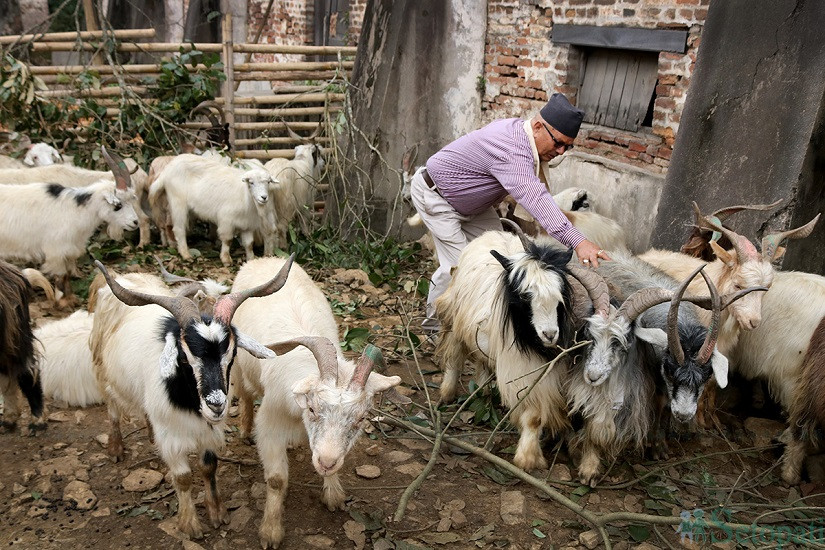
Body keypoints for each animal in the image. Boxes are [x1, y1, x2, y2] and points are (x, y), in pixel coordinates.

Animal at [0, 146, 138, 302]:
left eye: (132, 199)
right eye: (118, 205)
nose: (135, 222)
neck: (75, 209)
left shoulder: (70, 248)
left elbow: (67, 275)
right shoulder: (56, 250)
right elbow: (61, 276)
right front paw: (62, 302)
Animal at [89, 258, 292, 540]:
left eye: (232, 354)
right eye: (184, 357)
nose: (216, 404)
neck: (187, 400)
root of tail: (124, 278)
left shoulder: (209, 430)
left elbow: (209, 466)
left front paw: (217, 512)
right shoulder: (171, 434)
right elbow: (183, 477)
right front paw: (190, 525)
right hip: (102, 369)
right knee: (112, 408)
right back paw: (116, 447)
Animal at [148, 155, 276, 268]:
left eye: (268, 182)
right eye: (251, 182)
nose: (264, 197)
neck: (245, 196)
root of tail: (167, 169)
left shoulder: (247, 225)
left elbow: (249, 244)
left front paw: (251, 260)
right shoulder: (226, 220)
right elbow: (228, 240)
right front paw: (226, 259)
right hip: (177, 201)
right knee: (179, 229)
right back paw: (186, 254)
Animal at [229, 256, 402, 548]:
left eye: (360, 419)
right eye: (311, 408)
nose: (326, 462)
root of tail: (264, 259)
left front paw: (333, 493)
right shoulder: (271, 422)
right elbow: (276, 480)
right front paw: (271, 531)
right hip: (240, 368)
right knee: (245, 392)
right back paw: (243, 427)